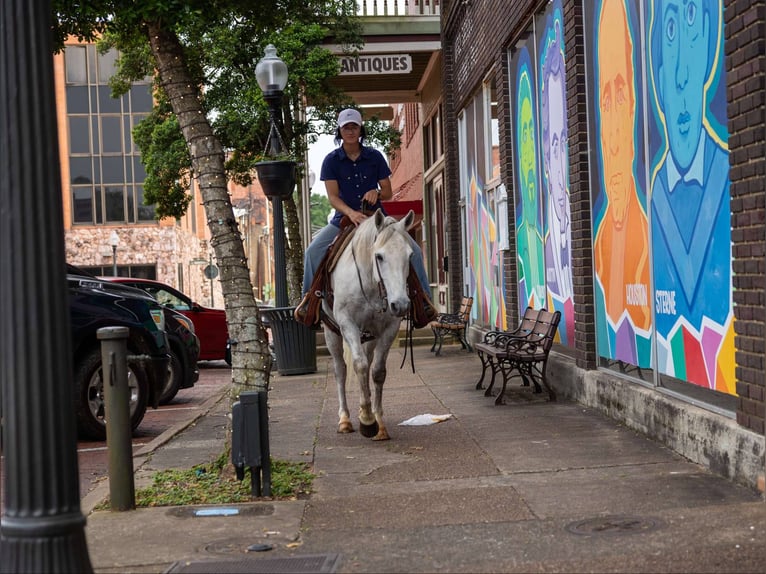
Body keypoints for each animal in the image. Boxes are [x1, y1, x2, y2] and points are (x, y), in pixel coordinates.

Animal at [323, 208, 416, 441]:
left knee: (368, 360)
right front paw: (366, 420)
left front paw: (378, 422)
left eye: (410, 255)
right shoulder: (347, 323)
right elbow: (360, 366)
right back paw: (345, 419)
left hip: (370, 336)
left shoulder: (389, 327)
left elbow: (377, 371)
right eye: (379, 256)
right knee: (341, 369)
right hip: (331, 333)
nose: (401, 304)